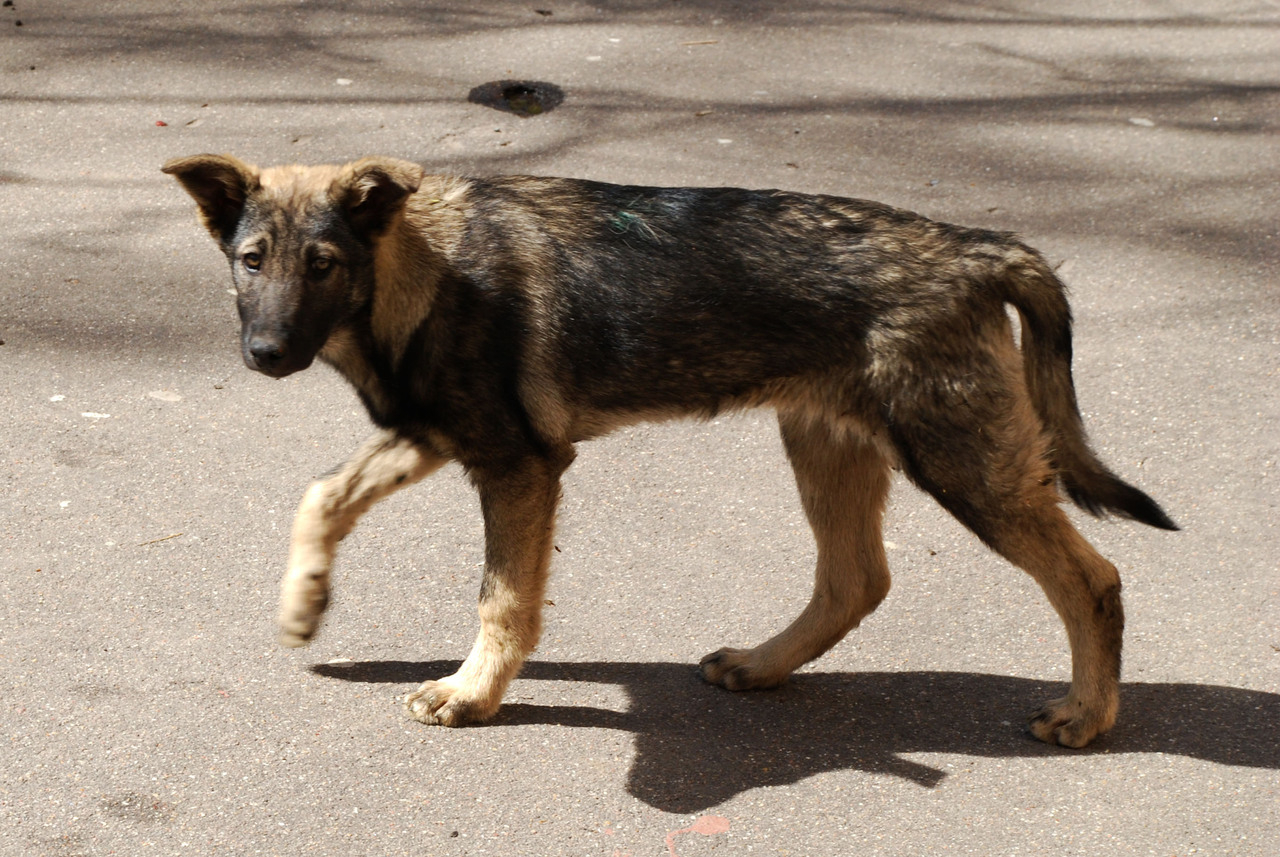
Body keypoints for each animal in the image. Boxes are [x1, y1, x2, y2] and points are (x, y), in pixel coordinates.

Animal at [162, 156, 1177, 752]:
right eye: (252, 260)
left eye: (323, 264)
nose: (266, 354)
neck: (420, 265)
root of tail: (976, 248)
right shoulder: (441, 434)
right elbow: (323, 493)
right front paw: (305, 603)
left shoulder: (520, 465)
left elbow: (502, 600)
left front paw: (472, 694)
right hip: (828, 445)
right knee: (857, 578)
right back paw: (763, 665)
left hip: (962, 462)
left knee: (1092, 579)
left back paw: (1088, 713)